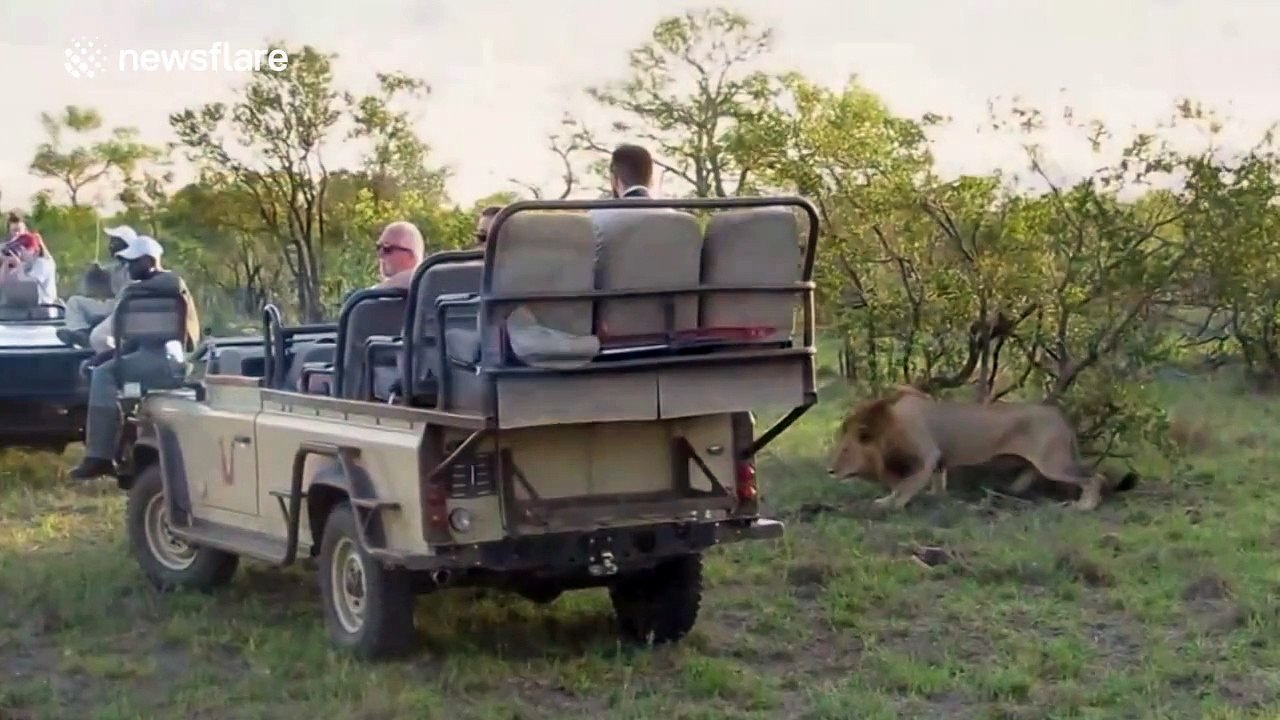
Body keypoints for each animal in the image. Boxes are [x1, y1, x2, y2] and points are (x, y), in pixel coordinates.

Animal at [826, 385, 1110, 511]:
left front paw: (892, 504)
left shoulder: (927, 454)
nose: (830, 471)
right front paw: (933, 496)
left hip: (1053, 462)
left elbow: (906, 484)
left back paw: (1085, 505)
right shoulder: (939, 461)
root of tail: (1061, 417)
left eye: (845, 451)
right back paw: (1015, 488)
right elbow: (935, 482)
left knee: (1095, 476)